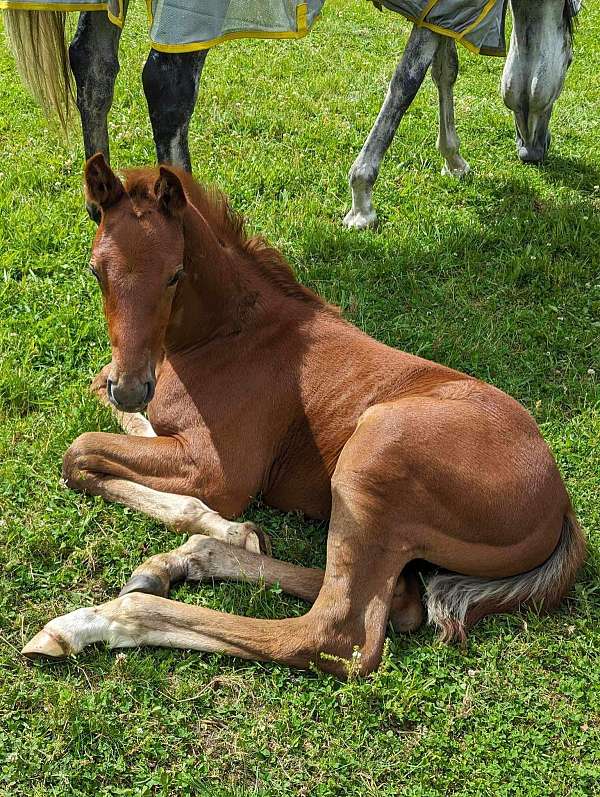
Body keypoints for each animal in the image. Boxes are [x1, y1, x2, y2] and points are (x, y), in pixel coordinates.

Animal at [1, 1, 580, 225]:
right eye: (573, 61)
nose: (536, 151)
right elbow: (408, 80)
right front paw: (362, 198)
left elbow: (444, 66)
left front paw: (454, 160)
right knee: (167, 87)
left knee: (93, 65)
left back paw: (101, 205)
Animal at [23, 155, 584, 676]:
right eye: (96, 269)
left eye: (174, 274)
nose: (131, 387)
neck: (231, 333)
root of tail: (560, 505)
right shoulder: (125, 393)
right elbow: (112, 432)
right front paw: (230, 530)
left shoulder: (219, 473)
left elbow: (80, 452)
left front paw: (216, 523)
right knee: (401, 598)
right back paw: (179, 562)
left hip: (370, 459)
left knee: (333, 633)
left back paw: (95, 621)